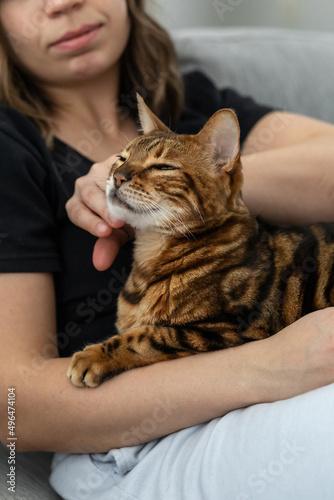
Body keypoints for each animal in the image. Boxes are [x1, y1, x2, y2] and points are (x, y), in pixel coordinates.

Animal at [67, 95, 334, 388]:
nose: (118, 176)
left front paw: (94, 355)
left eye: (163, 167)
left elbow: (148, 335)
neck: (150, 256)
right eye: (120, 159)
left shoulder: (232, 328)